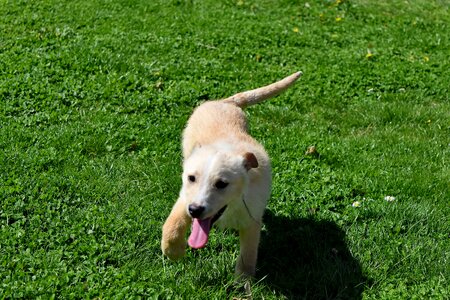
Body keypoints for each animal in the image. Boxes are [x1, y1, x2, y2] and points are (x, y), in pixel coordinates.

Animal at [162, 71, 302, 276]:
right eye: (191, 178)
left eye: (221, 184)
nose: (195, 210)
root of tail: (226, 102)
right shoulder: (185, 197)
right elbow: (173, 223)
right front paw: (173, 251)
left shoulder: (252, 221)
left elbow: (247, 257)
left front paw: (242, 282)